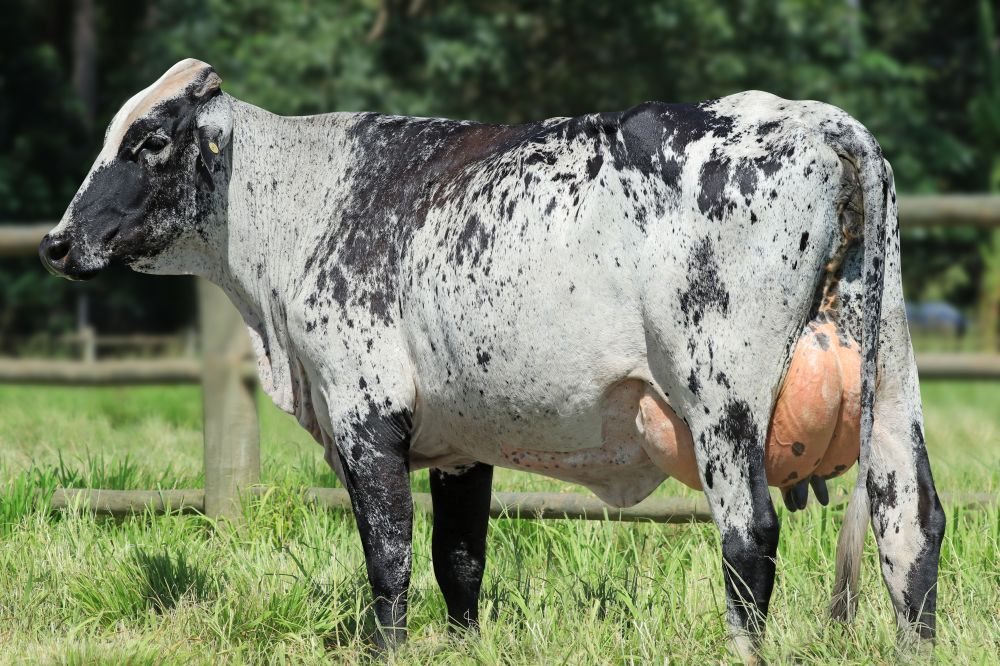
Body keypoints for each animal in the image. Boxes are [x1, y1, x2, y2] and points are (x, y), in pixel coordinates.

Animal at [39, 59, 945, 661]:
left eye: (150, 140)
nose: (56, 241)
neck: (305, 203)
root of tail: (804, 117)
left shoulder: (367, 417)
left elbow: (390, 556)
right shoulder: (458, 440)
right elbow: (460, 559)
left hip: (722, 397)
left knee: (749, 534)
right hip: (892, 376)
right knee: (911, 521)